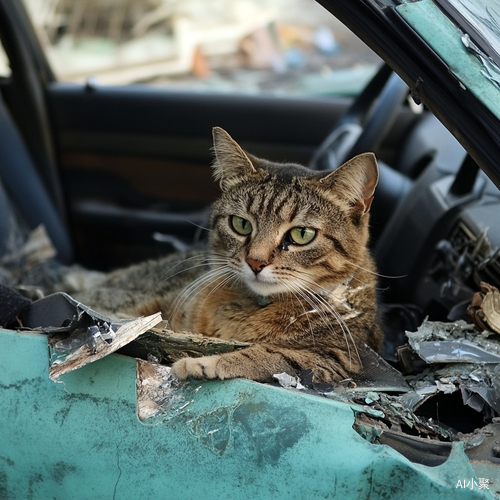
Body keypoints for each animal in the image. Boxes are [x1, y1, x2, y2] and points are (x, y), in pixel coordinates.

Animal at [73, 128, 382, 382]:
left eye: (301, 234)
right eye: (241, 224)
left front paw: (205, 363)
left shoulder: (337, 358)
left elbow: (269, 355)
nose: (256, 261)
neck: (255, 306)